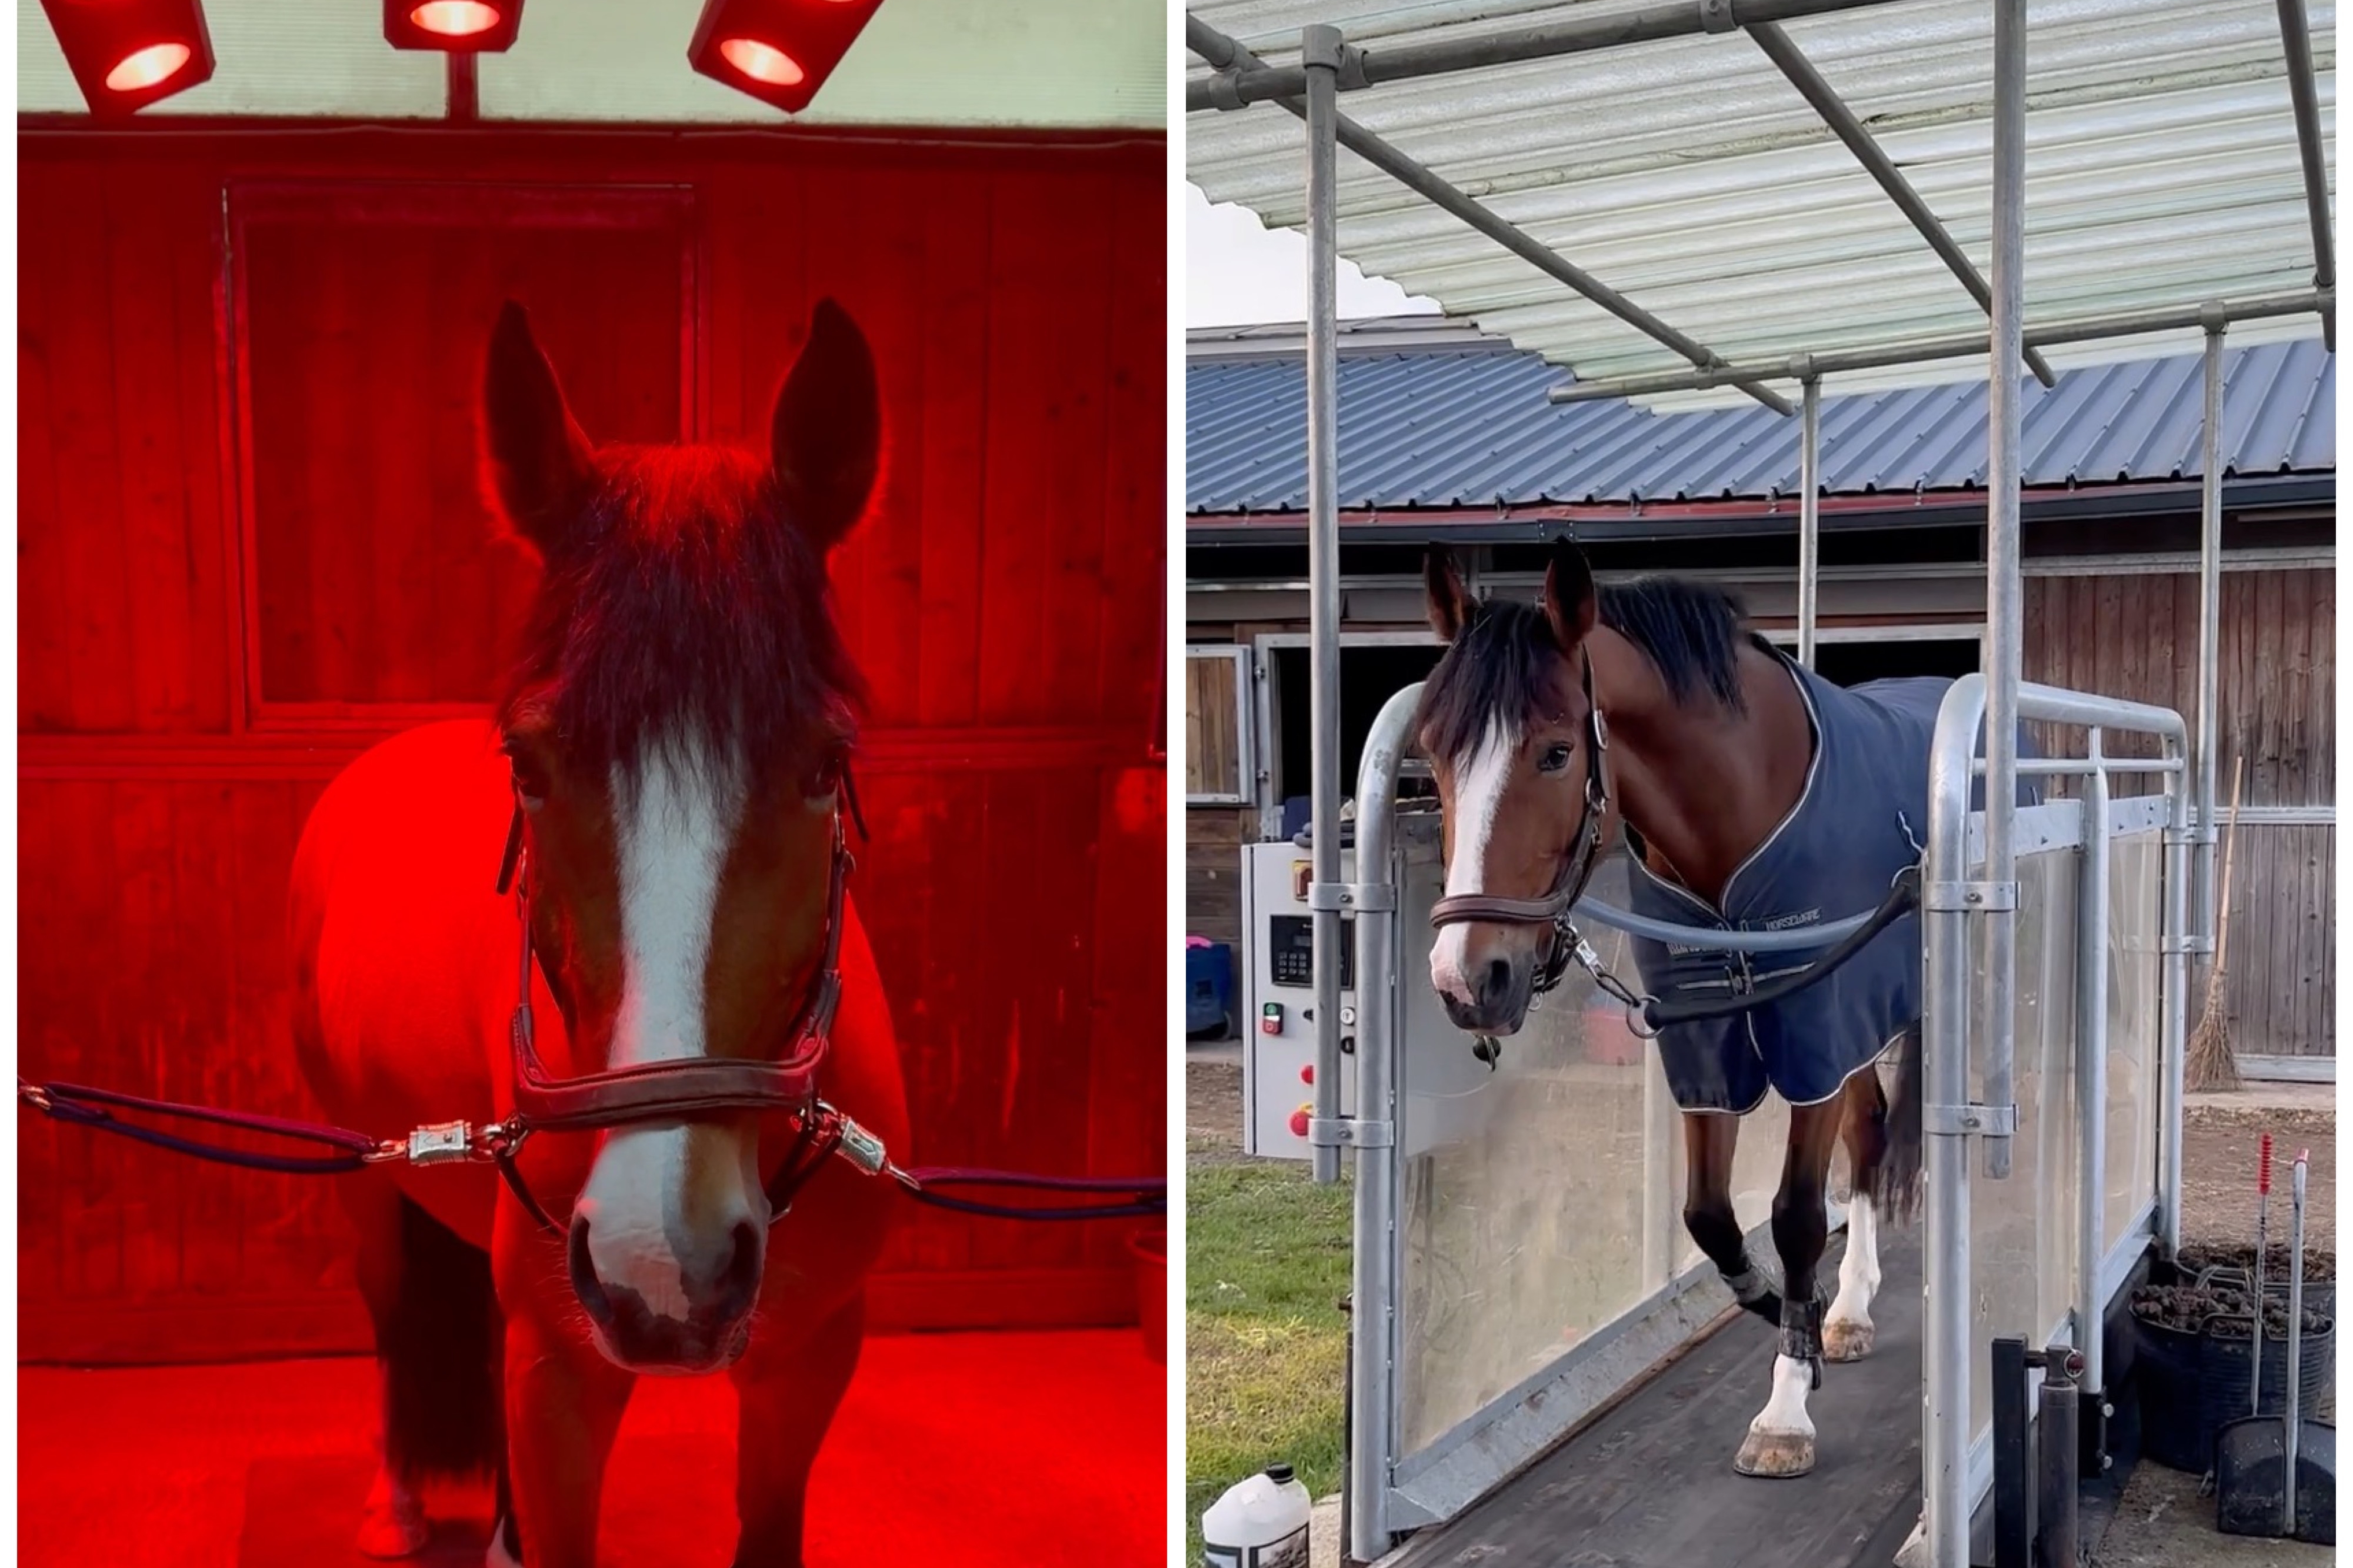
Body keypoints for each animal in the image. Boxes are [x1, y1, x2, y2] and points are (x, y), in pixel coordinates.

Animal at [292, 296, 908, 1563]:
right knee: (393, 1314)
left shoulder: (811, 1363)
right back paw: (394, 1507)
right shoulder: (562, 1376)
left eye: (824, 765)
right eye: (528, 766)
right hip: (370, 1185)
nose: (660, 1263)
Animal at [1412, 534, 2005, 1478]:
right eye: (1432, 751)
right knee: (1871, 1133)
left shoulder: (1808, 1034)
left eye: (1555, 752)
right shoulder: (1708, 1046)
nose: (1470, 979)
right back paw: (1850, 1307)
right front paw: (1790, 1317)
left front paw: (1786, 1409)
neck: (1739, 816)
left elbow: (1795, 1217)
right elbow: (1711, 1216)